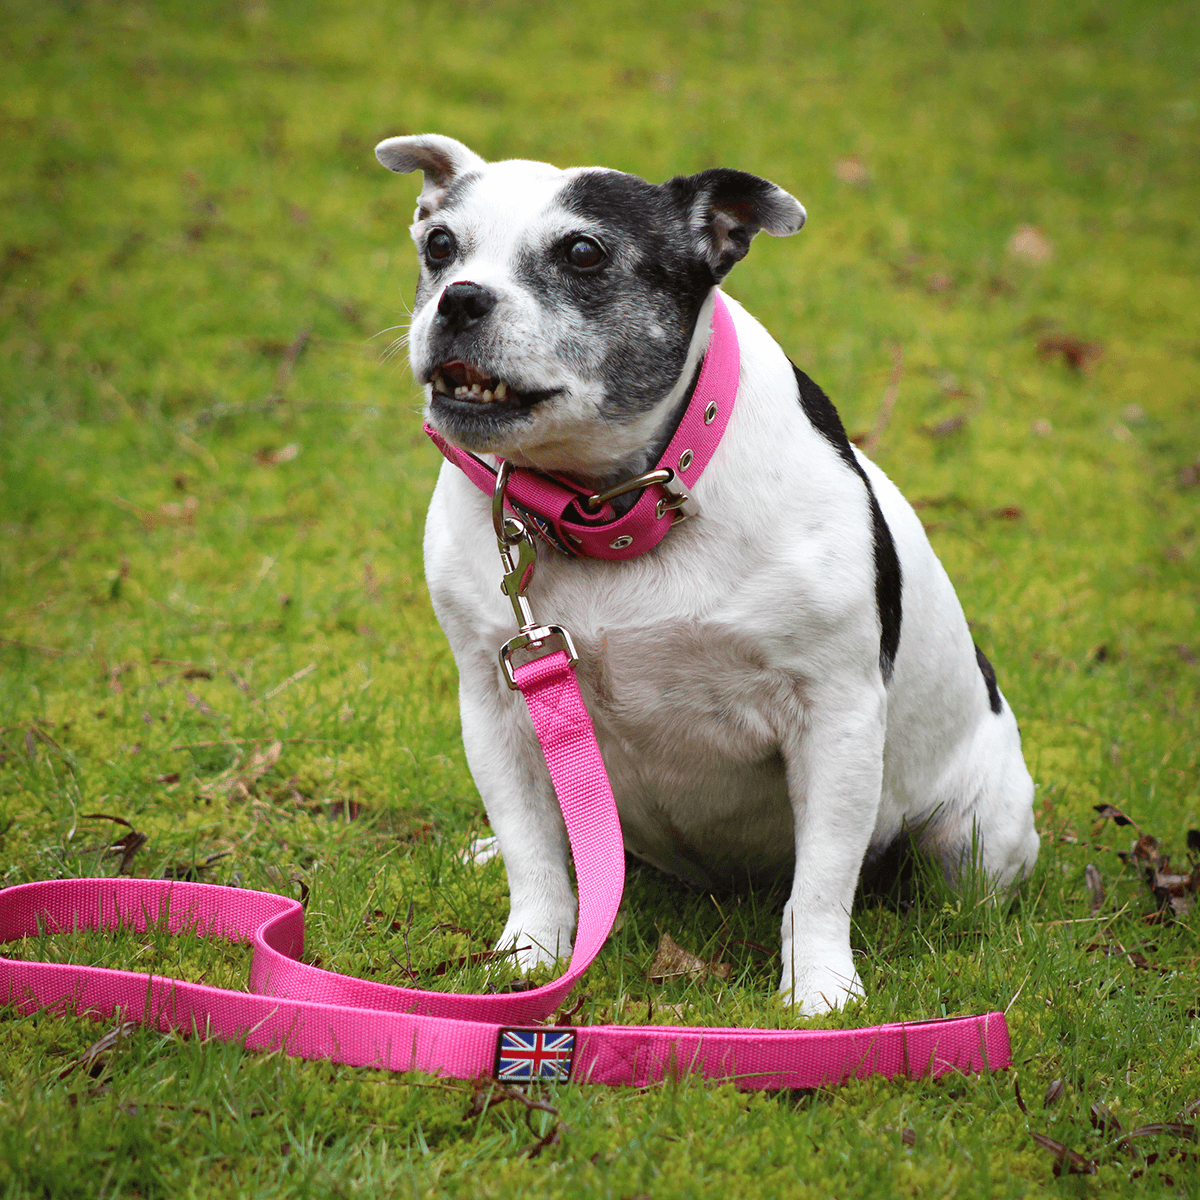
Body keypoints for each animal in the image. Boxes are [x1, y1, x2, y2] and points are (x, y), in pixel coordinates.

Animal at [374, 136, 1041, 1017]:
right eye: (440, 244)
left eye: (583, 253)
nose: (459, 298)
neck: (611, 507)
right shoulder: (498, 707)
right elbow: (533, 853)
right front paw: (531, 959)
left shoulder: (834, 719)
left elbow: (822, 882)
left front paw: (821, 994)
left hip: (977, 835)